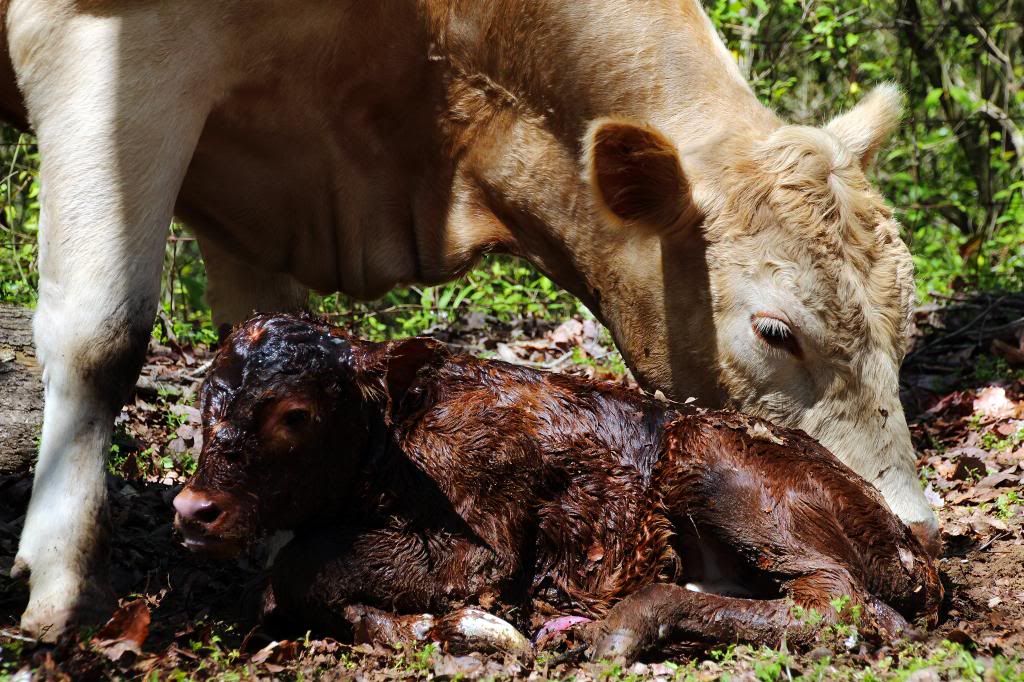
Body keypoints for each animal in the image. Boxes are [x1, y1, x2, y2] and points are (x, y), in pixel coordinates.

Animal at [173, 314, 943, 662]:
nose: (192, 509)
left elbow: (296, 567)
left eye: (296, 414)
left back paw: (622, 626)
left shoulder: (478, 546)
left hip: (716, 462)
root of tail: (914, 549)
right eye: (206, 404)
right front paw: (442, 628)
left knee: (842, 604)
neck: (392, 445)